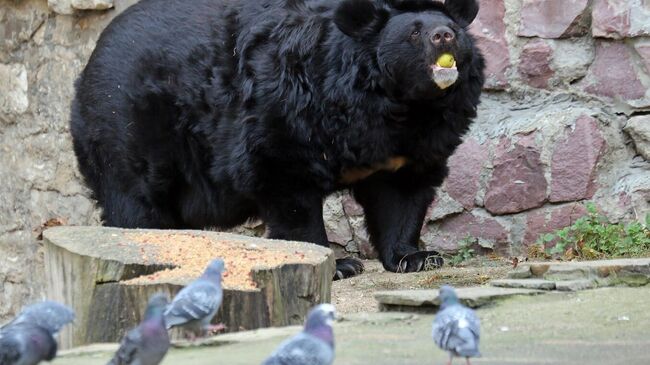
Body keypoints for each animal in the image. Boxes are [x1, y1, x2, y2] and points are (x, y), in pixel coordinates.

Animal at [72, 0, 480, 278]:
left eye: (453, 29)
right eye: (415, 32)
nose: (443, 36)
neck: (401, 106)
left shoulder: (411, 146)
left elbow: (402, 195)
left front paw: (416, 257)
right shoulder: (290, 110)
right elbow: (286, 185)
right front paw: (338, 264)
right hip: (129, 128)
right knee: (137, 203)